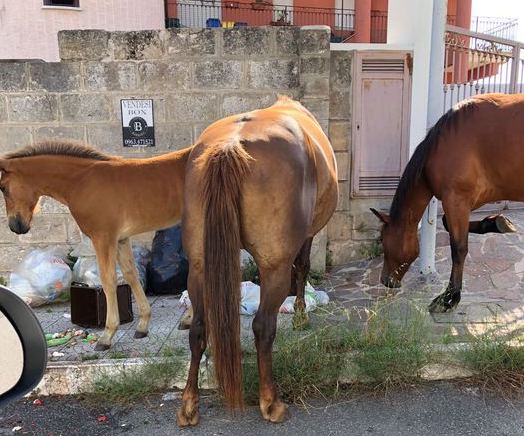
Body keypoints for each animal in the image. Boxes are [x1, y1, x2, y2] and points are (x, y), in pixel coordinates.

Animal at [0, 141, 192, 350]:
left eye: (2, 187)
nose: (16, 226)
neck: (81, 182)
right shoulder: (121, 239)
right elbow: (130, 275)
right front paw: (142, 326)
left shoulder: (103, 238)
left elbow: (108, 281)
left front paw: (107, 336)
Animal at [370, 93, 524, 314]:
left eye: (382, 239)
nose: (386, 281)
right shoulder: (467, 201)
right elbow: (446, 223)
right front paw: (497, 223)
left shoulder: (456, 200)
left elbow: (458, 248)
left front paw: (449, 297)